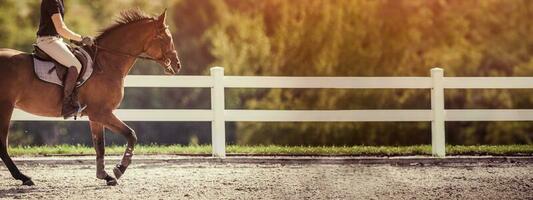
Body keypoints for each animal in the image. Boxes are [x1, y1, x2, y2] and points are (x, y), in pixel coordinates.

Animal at [0, 9, 181, 186]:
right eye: (166, 38)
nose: (177, 65)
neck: (107, 64)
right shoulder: (102, 112)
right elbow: (131, 134)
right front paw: (119, 169)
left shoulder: (95, 116)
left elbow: (100, 146)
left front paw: (105, 176)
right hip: (6, 107)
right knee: (3, 144)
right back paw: (24, 177)